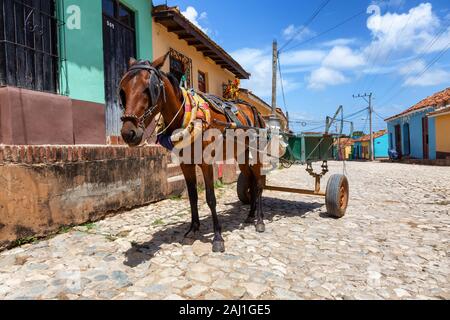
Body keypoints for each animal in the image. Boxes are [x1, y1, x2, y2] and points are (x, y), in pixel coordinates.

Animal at [118, 54, 268, 252]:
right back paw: (250, 215)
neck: (186, 116)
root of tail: (253, 110)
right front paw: (193, 229)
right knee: (249, 179)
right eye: (123, 90)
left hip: (256, 153)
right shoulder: (185, 164)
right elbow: (192, 196)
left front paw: (218, 237)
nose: (128, 133)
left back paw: (259, 220)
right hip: (241, 155)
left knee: (258, 184)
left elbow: (210, 198)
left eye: (149, 88)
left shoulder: (206, 163)